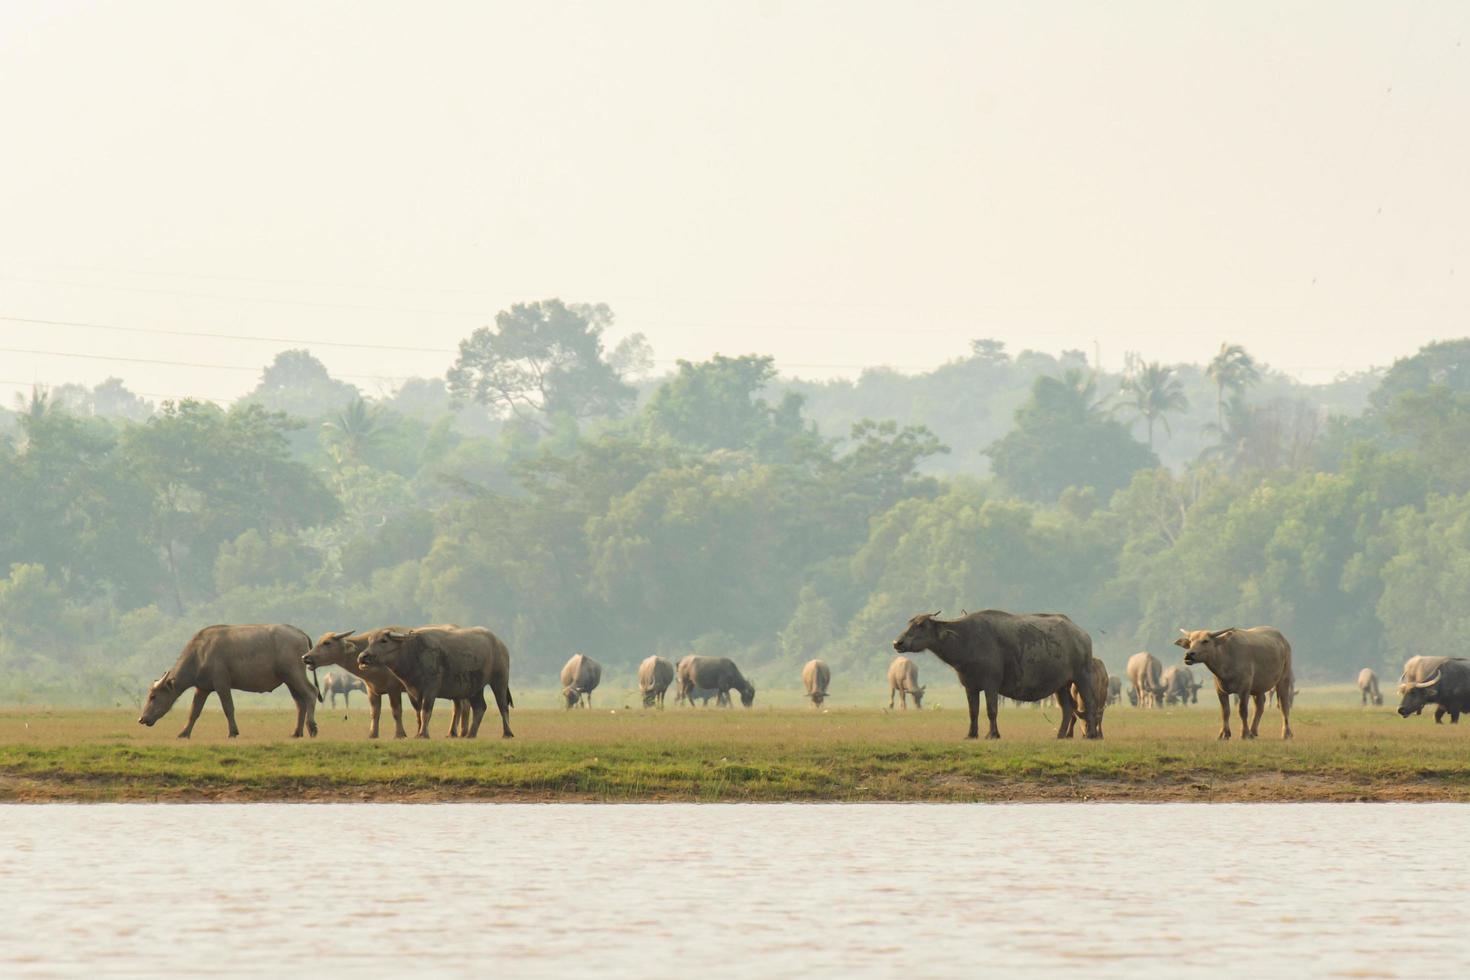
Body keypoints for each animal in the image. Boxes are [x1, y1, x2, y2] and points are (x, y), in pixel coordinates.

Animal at [138, 625, 318, 740]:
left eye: (153, 697)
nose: (141, 719)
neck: (200, 654)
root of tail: (300, 633)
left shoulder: (222, 684)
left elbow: (228, 708)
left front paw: (233, 732)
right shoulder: (202, 689)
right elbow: (194, 711)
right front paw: (184, 733)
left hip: (294, 674)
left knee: (311, 693)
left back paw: (312, 727)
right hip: (289, 680)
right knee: (300, 702)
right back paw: (296, 732)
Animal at [357, 628, 514, 734]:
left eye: (383, 640)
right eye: (370, 641)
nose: (362, 657)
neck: (413, 654)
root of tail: (501, 645)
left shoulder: (431, 689)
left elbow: (426, 711)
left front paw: (423, 734)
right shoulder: (413, 691)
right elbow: (418, 713)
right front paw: (418, 732)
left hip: (500, 680)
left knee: (502, 706)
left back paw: (507, 733)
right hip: (475, 688)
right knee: (480, 708)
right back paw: (471, 734)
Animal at [887, 608, 1099, 740]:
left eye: (921, 625)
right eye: (909, 623)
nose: (897, 642)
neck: (967, 641)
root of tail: (1082, 635)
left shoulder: (991, 685)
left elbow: (991, 710)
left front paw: (993, 734)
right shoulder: (970, 686)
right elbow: (973, 711)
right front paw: (971, 734)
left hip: (1082, 676)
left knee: (1089, 704)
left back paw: (1091, 734)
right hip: (1062, 684)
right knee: (1067, 709)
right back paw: (1060, 735)